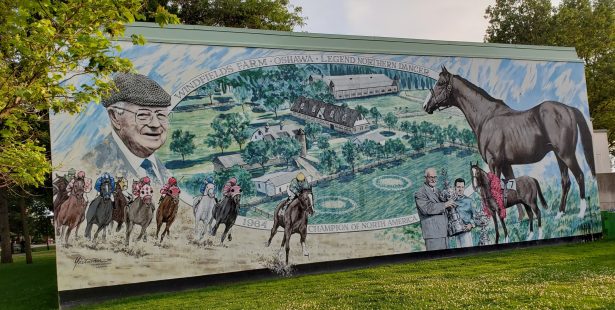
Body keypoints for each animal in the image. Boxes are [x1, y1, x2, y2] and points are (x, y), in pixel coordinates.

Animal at [426, 66, 596, 219]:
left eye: (440, 83)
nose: (426, 105)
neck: (486, 117)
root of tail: (568, 109)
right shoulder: (506, 164)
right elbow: (511, 185)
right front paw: (522, 218)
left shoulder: (494, 163)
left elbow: (497, 189)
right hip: (558, 156)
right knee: (565, 181)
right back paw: (560, 213)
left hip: (566, 154)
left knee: (580, 176)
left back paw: (581, 213)